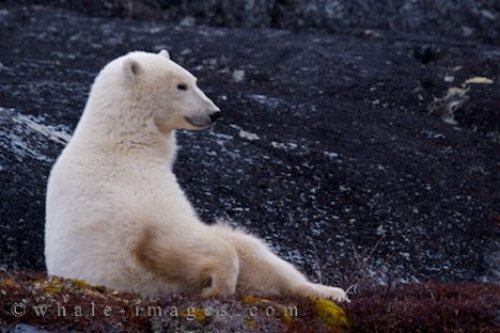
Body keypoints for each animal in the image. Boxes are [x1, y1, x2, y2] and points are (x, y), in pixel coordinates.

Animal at [45, 50, 346, 300]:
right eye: (181, 86)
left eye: (194, 80)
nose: (215, 113)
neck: (124, 142)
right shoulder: (129, 189)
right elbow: (170, 235)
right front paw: (219, 287)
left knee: (252, 249)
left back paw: (331, 291)